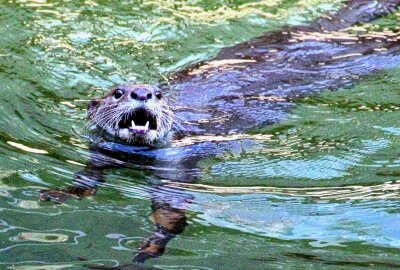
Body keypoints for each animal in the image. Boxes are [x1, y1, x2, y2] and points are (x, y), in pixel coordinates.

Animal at [39, 0, 400, 266]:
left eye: (158, 94)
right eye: (117, 92)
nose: (142, 93)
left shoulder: (177, 165)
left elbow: (171, 211)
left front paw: (148, 248)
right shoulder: (101, 150)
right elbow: (88, 176)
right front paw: (61, 194)